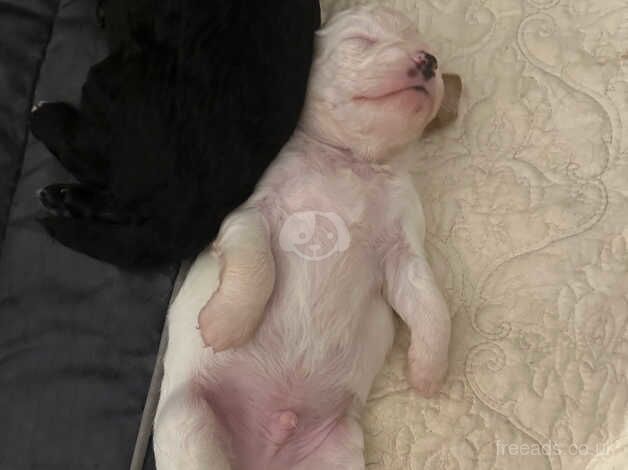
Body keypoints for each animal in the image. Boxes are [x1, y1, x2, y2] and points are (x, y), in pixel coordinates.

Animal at [153, 6, 456, 470]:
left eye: (431, 53)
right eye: (362, 41)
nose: (429, 61)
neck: (350, 161)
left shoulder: (405, 251)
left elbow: (432, 306)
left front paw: (427, 369)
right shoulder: (250, 215)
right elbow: (257, 264)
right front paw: (225, 323)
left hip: (336, 450)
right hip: (189, 422)